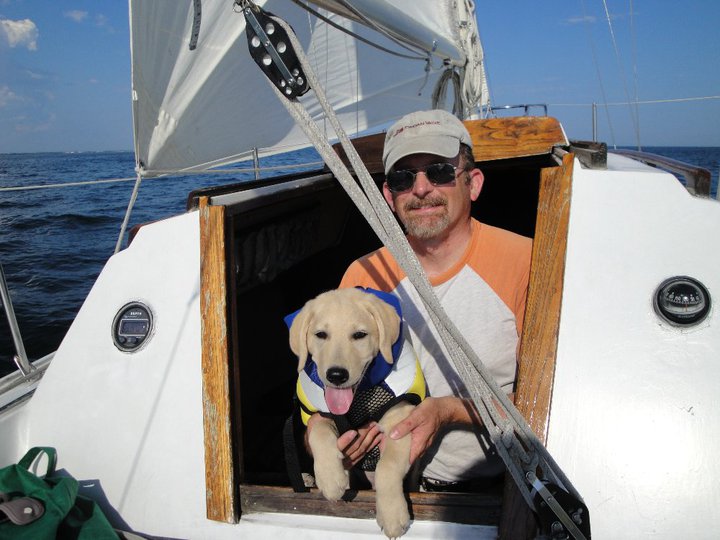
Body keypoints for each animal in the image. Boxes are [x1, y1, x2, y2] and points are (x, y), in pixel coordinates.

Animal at [286, 286, 424, 536]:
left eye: (359, 335)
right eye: (321, 335)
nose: (336, 375)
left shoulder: (399, 421)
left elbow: (387, 467)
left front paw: (392, 515)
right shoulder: (321, 415)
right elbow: (319, 433)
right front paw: (330, 478)